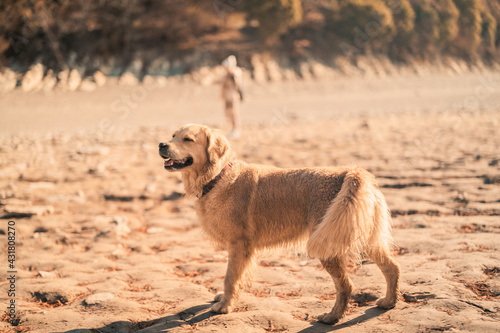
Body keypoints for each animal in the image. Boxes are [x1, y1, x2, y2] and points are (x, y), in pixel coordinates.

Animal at [158, 123, 400, 322]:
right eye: (173, 135)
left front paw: (225, 305)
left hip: (329, 243)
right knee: (392, 267)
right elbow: (239, 276)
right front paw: (227, 297)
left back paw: (331, 317)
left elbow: (230, 277)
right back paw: (389, 302)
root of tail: (350, 173)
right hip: (362, 235)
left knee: (346, 285)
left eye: (188, 139)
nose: (161, 144)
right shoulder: (243, 249)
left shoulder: (239, 244)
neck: (217, 178)